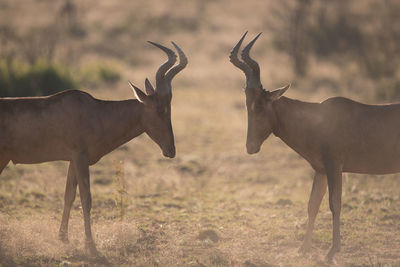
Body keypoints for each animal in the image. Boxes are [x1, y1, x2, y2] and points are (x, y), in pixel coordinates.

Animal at [0, 40, 187, 256]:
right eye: (160, 109)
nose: (171, 150)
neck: (93, 111)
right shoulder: (80, 158)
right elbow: (86, 198)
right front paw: (90, 245)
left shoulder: (73, 160)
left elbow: (69, 196)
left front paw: (63, 238)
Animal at [230, 32, 400, 262]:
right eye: (247, 104)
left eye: (259, 105)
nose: (251, 147)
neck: (319, 118)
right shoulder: (321, 170)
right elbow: (313, 205)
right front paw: (303, 248)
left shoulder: (335, 166)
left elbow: (335, 204)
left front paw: (331, 252)